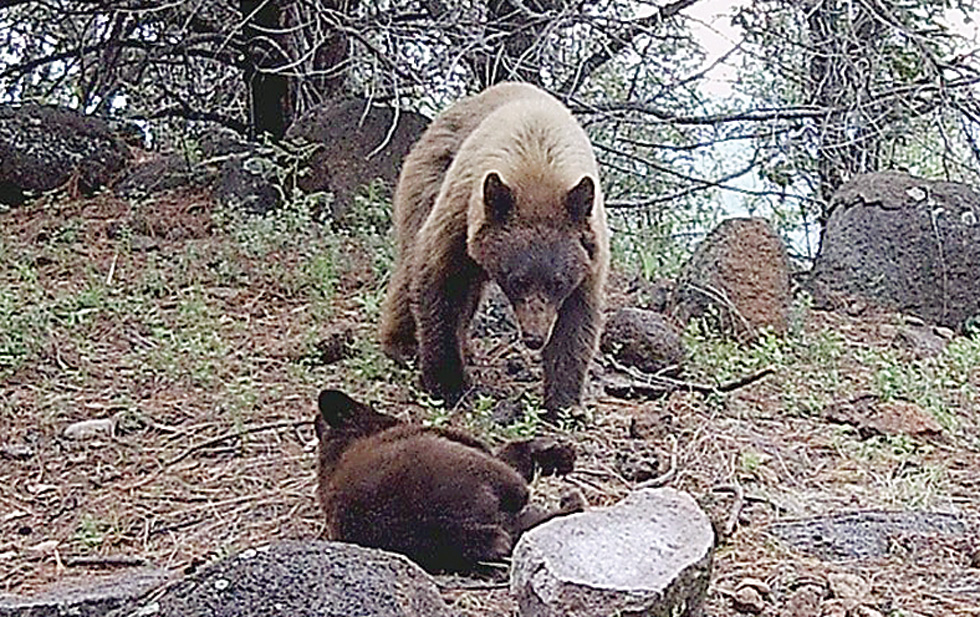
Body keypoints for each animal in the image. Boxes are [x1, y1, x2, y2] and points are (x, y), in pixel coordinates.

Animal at [378, 80, 608, 414]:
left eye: (558, 283)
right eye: (518, 280)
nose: (534, 337)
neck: (538, 164)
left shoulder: (590, 249)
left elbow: (578, 317)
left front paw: (565, 405)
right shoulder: (461, 213)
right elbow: (439, 281)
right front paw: (448, 384)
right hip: (427, 179)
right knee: (411, 263)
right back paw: (403, 345)